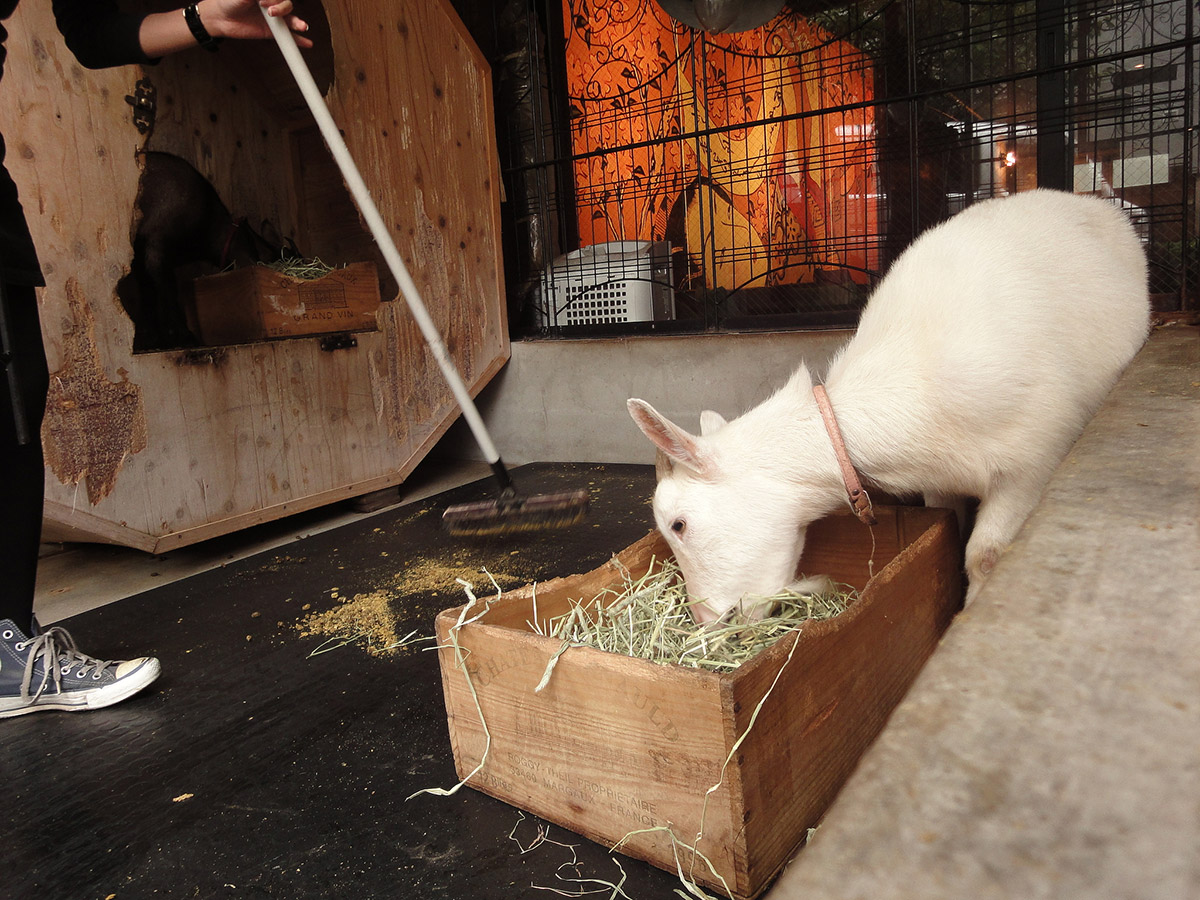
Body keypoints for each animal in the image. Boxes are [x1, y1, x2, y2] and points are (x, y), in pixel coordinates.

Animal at [624, 192, 1147, 619]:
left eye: (679, 524)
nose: (706, 620)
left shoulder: (1034, 460)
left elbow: (985, 554)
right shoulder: (940, 479)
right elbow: (948, 532)